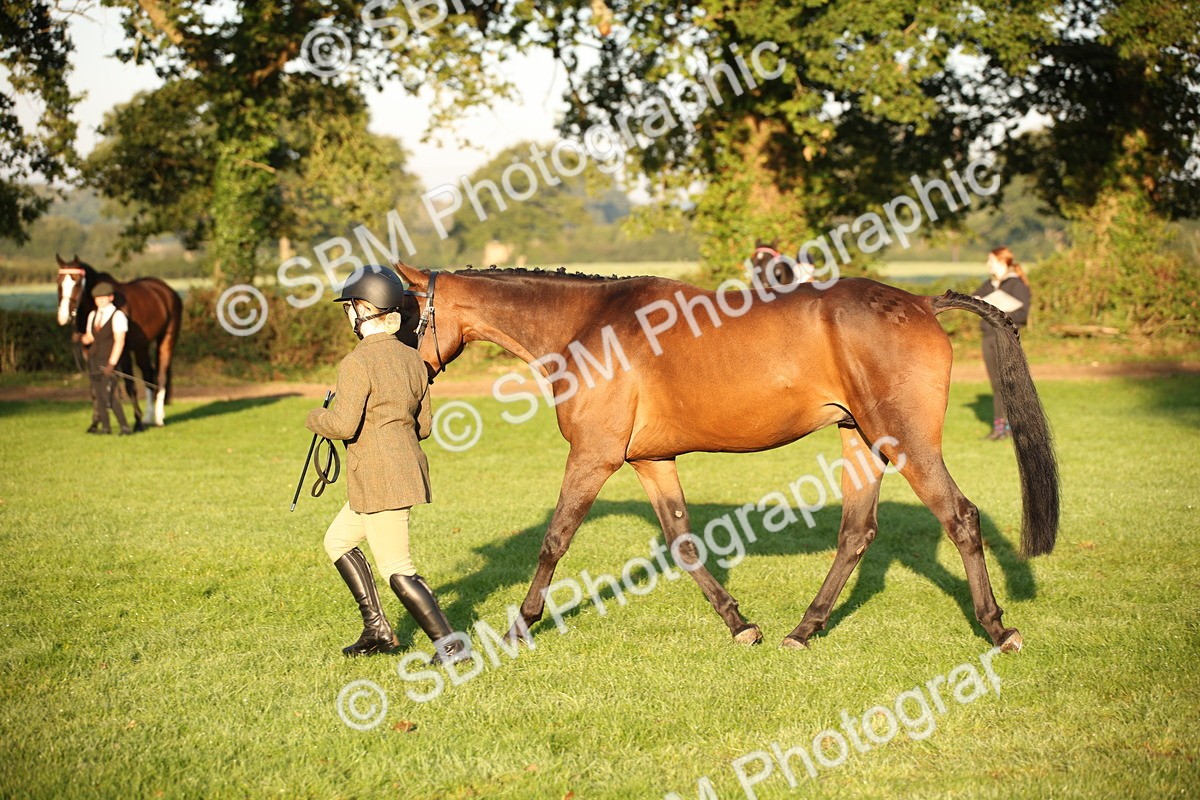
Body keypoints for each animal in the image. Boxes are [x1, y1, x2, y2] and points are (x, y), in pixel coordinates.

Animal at [55, 254, 183, 427]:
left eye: (76, 281)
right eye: (59, 281)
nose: (63, 317)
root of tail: (167, 291)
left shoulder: (123, 351)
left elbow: (130, 385)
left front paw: (137, 422)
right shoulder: (88, 352)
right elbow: (95, 387)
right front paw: (95, 423)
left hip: (166, 340)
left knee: (161, 375)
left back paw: (158, 418)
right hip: (141, 347)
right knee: (148, 374)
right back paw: (148, 417)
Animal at [393, 261, 1058, 652]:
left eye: (405, 314)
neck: (586, 325)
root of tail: (921, 303)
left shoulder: (593, 456)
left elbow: (555, 540)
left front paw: (520, 625)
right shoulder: (652, 461)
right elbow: (683, 543)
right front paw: (740, 624)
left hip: (907, 443)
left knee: (960, 517)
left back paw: (997, 628)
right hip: (860, 441)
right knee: (856, 533)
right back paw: (803, 630)